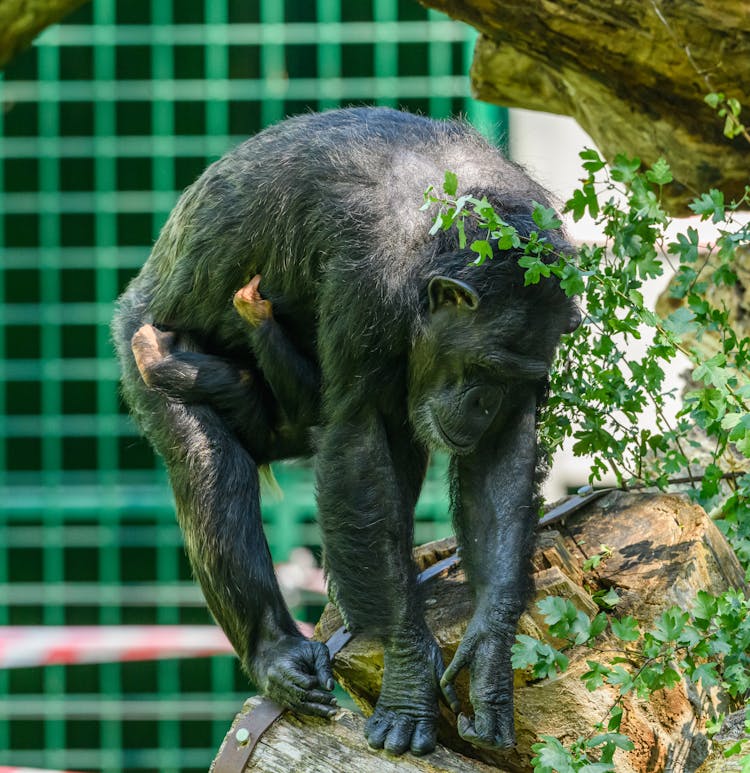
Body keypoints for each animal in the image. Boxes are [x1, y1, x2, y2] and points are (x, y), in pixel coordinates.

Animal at [113, 108, 580, 752]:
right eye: (486, 368)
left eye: (514, 378)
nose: (485, 401)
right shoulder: (369, 287)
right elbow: (357, 436)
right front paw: (409, 677)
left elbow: (498, 456)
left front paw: (489, 658)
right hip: (140, 337)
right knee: (209, 467)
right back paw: (277, 654)